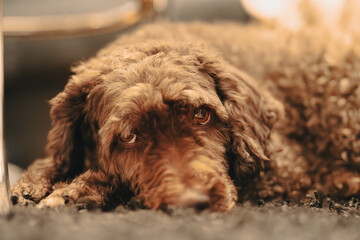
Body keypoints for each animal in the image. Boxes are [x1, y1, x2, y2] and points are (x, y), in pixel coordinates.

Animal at [9, 21, 358, 212]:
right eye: (128, 136)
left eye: (201, 115)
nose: (193, 203)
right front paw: (31, 183)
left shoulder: (285, 169)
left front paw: (77, 190)